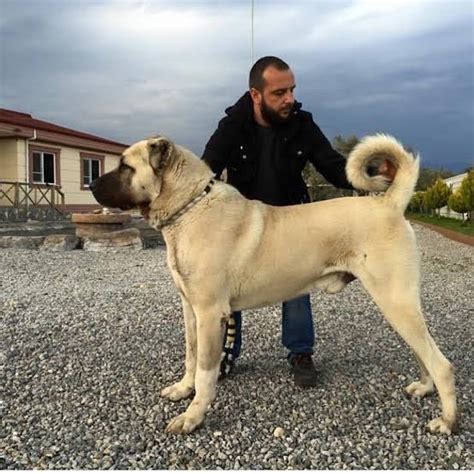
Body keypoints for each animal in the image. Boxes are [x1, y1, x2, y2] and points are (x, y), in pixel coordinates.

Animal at [89, 132, 456, 434]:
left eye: (125, 166)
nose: (90, 185)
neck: (190, 207)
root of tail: (388, 203)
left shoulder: (209, 313)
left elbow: (206, 372)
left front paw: (193, 417)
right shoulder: (190, 310)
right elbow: (191, 357)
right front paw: (183, 389)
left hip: (395, 301)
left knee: (442, 364)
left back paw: (447, 421)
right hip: (399, 307)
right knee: (423, 353)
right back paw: (424, 389)